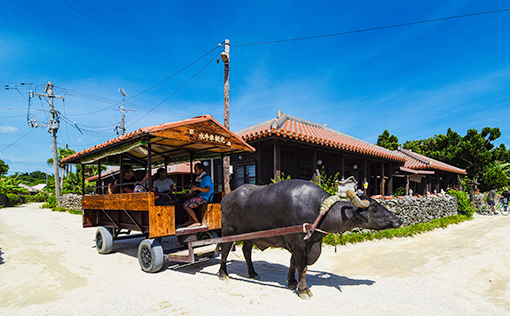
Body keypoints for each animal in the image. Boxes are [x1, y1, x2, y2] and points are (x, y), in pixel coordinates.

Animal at [219, 179, 402, 300]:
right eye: (375, 207)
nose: (399, 220)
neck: (319, 212)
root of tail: (226, 198)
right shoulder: (299, 243)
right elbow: (302, 266)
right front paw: (303, 290)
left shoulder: (301, 245)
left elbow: (293, 263)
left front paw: (292, 282)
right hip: (228, 230)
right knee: (225, 250)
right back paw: (223, 274)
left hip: (248, 236)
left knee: (246, 251)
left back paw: (252, 273)